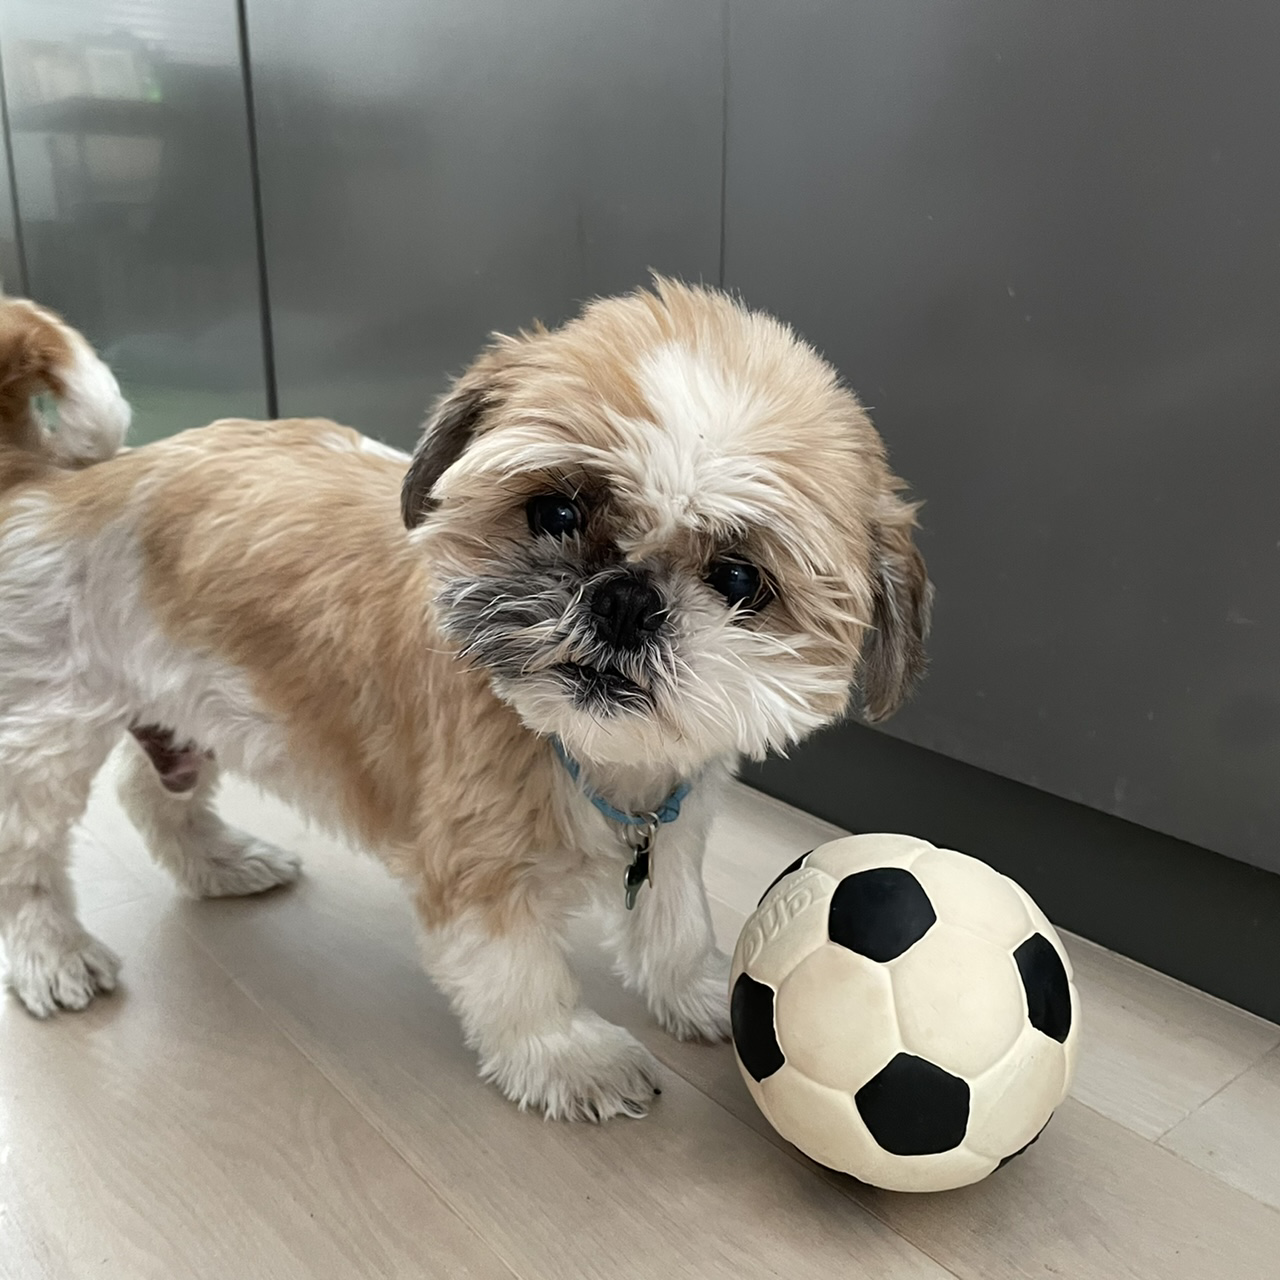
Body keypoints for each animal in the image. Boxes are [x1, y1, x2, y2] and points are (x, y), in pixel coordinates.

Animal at [0, 281, 930, 1120]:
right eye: (555, 511)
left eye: (740, 580)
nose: (624, 599)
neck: (584, 754)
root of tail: (60, 484)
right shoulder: (480, 868)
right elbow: (521, 979)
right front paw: (570, 1058)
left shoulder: (675, 823)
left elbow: (674, 922)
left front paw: (702, 992)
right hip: (49, 733)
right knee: (29, 859)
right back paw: (54, 955)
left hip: (190, 712)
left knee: (152, 795)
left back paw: (222, 863)